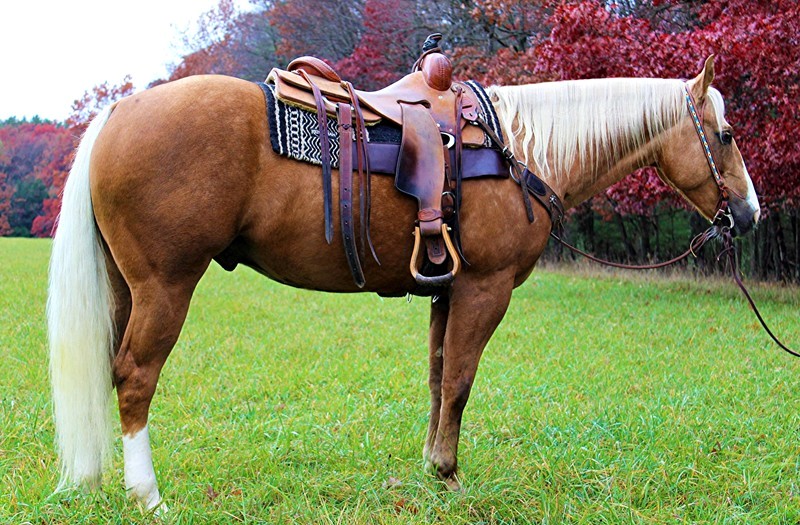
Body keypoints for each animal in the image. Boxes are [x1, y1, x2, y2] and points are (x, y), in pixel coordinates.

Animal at [47, 56, 760, 510]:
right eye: (725, 134)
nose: (749, 214)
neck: (519, 150)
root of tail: (119, 112)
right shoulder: (484, 290)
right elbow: (462, 382)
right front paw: (449, 475)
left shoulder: (448, 291)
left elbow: (440, 378)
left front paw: (430, 471)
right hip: (166, 286)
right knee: (136, 375)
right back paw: (147, 495)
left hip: (125, 287)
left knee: (110, 368)